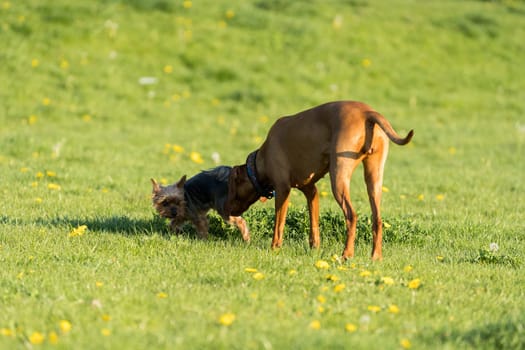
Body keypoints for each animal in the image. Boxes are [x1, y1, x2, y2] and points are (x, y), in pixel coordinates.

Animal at [223, 100, 412, 260]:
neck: (259, 162)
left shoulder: (283, 190)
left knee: (352, 215)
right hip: (374, 179)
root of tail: (367, 112)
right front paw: (315, 247)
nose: (228, 212)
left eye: (232, 190)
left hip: (338, 177)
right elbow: (314, 223)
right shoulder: (311, 191)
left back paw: (346, 254)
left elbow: (278, 224)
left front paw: (274, 248)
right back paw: (375, 257)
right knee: (377, 219)